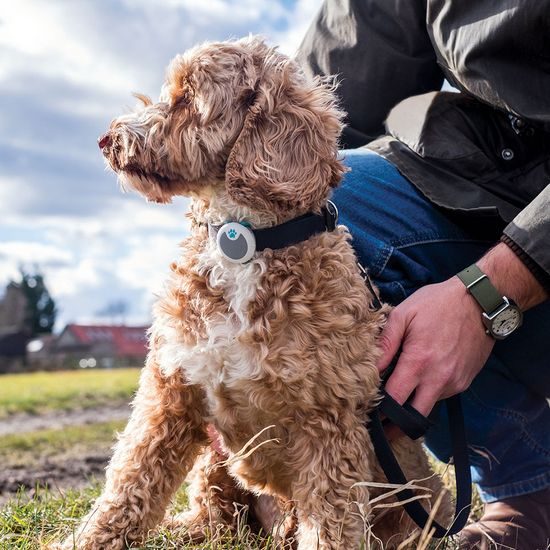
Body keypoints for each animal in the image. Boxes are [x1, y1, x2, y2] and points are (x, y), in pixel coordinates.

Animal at [61, 36, 452, 548]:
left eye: (187, 98)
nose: (107, 139)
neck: (241, 239)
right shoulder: (169, 393)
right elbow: (128, 481)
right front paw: (87, 539)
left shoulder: (327, 421)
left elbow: (332, 523)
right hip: (215, 464)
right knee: (212, 518)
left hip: (414, 497)